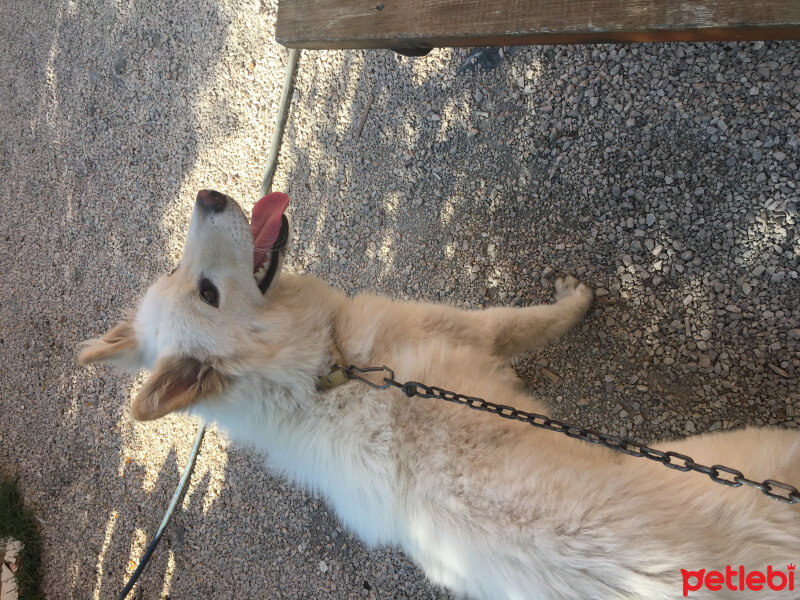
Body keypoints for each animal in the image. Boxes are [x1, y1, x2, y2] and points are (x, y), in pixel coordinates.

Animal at [83, 190, 800, 596]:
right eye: (208, 291)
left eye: (189, 280)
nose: (206, 194)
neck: (318, 379)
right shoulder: (476, 329)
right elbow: (537, 321)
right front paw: (578, 301)